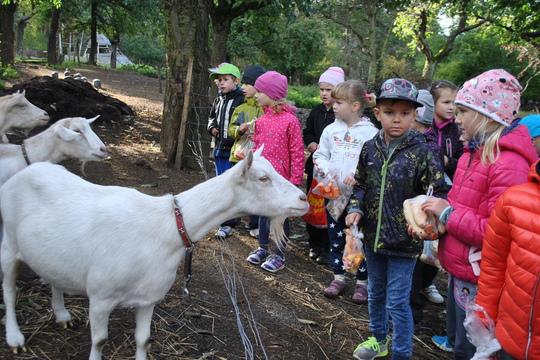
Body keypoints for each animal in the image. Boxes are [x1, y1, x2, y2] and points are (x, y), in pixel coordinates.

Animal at [0, 147, 308, 360]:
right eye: (263, 178)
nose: (303, 199)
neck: (166, 228)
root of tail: (27, 170)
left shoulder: (148, 298)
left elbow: (143, 339)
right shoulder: (100, 296)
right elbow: (99, 341)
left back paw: (62, 314)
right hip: (9, 242)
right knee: (9, 290)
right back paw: (15, 338)